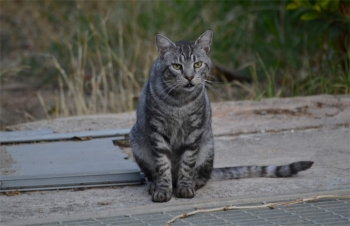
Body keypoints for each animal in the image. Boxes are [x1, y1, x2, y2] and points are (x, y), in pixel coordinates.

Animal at [129, 30, 314, 203]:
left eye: (197, 64)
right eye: (176, 66)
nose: (189, 76)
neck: (179, 102)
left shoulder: (194, 131)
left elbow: (187, 164)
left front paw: (186, 187)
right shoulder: (157, 130)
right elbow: (162, 165)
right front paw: (162, 189)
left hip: (207, 147)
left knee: (203, 176)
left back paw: (192, 182)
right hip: (137, 143)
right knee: (153, 174)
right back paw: (155, 185)